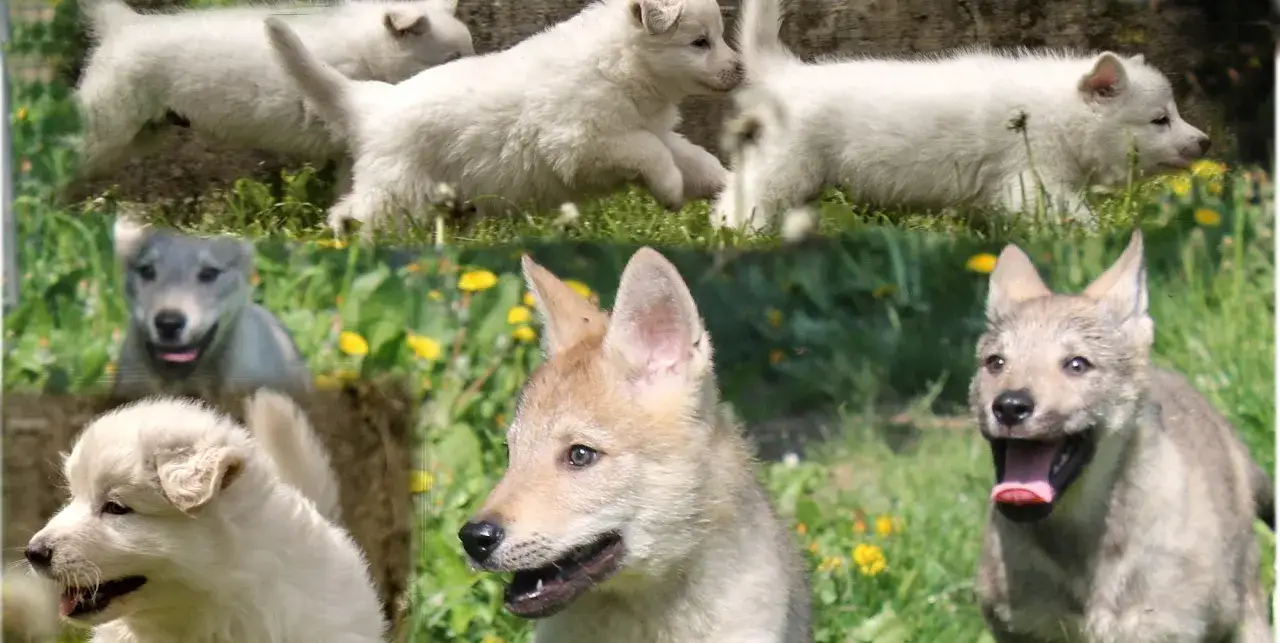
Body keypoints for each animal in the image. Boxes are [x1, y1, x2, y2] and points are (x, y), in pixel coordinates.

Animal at [263, 0, 741, 236]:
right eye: (700, 42)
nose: (741, 69)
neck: (621, 65)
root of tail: (372, 104)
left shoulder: (654, 128)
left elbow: (692, 157)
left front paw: (726, 188)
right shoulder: (582, 141)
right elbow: (652, 153)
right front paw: (671, 191)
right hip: (399, 190)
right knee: (359, 213)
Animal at [711, 0, 1212, 233]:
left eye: (1174, 114)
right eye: (1160, 120)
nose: (1205, 142)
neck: (1060, 114)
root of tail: (785, 73)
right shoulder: (1033, 179)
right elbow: (1074, 215)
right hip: (783, 168)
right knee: (742, 203)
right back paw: (740, 235)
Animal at [970, 231, 1274, 642]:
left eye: (1077, 365)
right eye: (995, 363)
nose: (1010, 406)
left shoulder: (1162, 627)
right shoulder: (1025, 626)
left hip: (1247, 612)